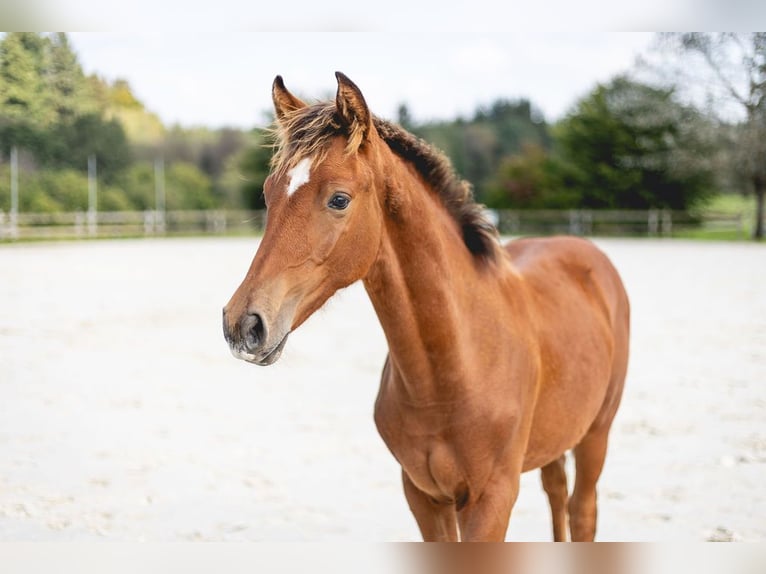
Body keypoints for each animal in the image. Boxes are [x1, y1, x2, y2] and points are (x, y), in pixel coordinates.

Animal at [222, 73, 632, 544]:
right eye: (268, 193)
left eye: (339, 199)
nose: (243, 324)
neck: (454, 369)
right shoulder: (423, 495)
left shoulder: (492, 500)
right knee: (556, 493)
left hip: (596, 434)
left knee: (582, 511)